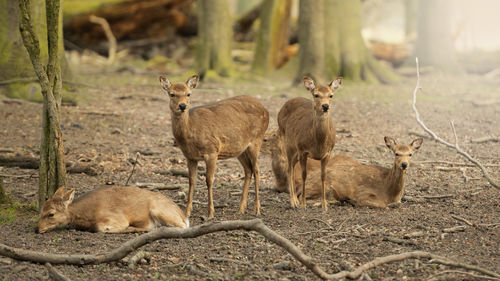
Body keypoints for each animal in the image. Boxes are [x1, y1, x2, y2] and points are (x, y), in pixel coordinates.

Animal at [36, 185, 189, 233]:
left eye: (51, 214)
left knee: (183, 227)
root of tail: (183, 215)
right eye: (41, 209)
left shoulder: (118, 219)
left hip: (159, 210)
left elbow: (101, 228)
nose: (37, 229)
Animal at [160, 75, 270, 219]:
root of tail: (266, 110)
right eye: (172, 94)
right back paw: (241, 208)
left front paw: (211, 212)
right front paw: (187, 212)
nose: (182, 106)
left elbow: (209, 180)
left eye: (188, 94)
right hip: (240, 149)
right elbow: (191, 180)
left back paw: (257, 209)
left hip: (256, 140)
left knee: (257, 170)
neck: (191, 132)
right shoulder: (190, 156)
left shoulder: (212, 151)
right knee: (248, 170)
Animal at [276, 75, 342, 209]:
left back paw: (295, 200)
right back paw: (293, 202)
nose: (325, 106)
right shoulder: (303, 150)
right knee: (289, 169)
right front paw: (303, 204)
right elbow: (304, 175)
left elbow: (323, 176)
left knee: (292, 166)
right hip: (288, 142)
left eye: (331, 95)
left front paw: (324, 205)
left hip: (295, 151)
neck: (318, 143)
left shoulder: (328, 153)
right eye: (316, 95)